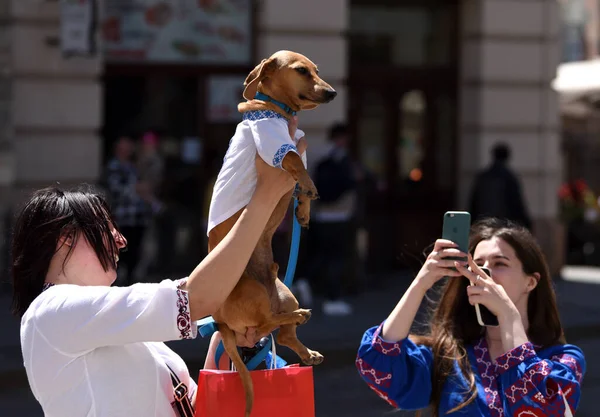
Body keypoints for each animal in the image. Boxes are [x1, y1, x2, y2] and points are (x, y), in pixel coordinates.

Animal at [206, 50, 338, 414]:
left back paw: (307, 347)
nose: (333, 93)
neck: (277, 111)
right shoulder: (275, 145)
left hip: (283, 291)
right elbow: (294, 161)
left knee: (283, 332)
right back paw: (301, 316)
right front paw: (309, 187)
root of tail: (220, 321)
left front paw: (303, 209)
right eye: (301, 71)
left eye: (316, 70)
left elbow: (299, 182)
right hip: (253, 290)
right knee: (267, 324)